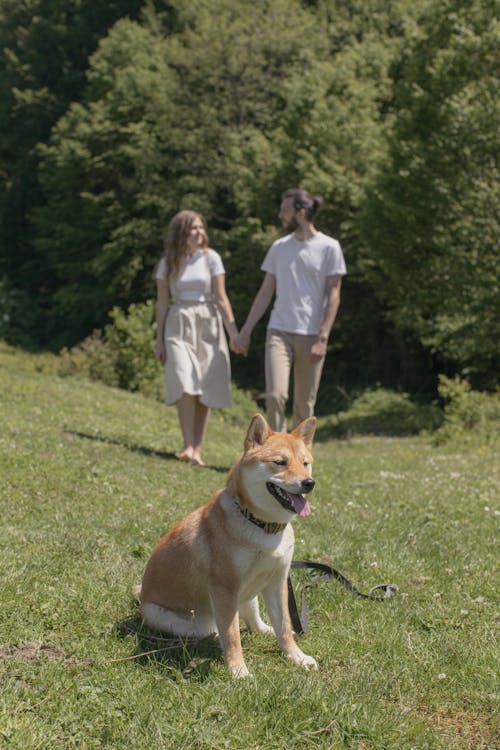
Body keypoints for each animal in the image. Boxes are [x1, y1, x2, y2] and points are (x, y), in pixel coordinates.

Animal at [138, 414, 316, 680]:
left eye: (305, 463)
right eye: (280, 462)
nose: (309, 483)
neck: (262, 526)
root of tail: (140, 597)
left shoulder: (277, 580)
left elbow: (283, 626)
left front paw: (297, 657)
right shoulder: (224, 588)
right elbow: (232, 636)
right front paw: (239, 671)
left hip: (249, 593)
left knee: (253, 621)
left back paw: (265, 630)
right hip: (185, 618)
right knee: (215, 630)